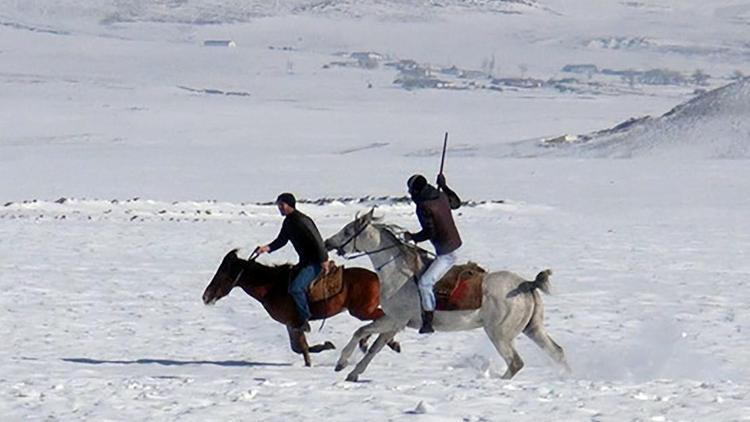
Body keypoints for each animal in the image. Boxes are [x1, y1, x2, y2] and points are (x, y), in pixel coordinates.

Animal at [200, 251, 400, 366]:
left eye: (223, 274)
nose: (205, 297)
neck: (271, 286)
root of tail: (377, 277)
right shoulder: (292, 324)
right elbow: (299, 347)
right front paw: (323, 348)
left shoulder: (295, 321)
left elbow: (301, 347)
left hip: (362, 310)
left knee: (384, 318)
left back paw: (379, 342)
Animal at [326, 210, 572, 382]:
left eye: (347, 231)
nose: (328, 243)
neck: (398, 274)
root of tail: (526, 284)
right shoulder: (395, 323)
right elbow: (374, 346)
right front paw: (353, 373)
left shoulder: (395, 319)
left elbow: (361, 332)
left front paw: (342, 362)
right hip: (532, 329)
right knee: (557, 352)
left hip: (499, 334)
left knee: (516, 363)